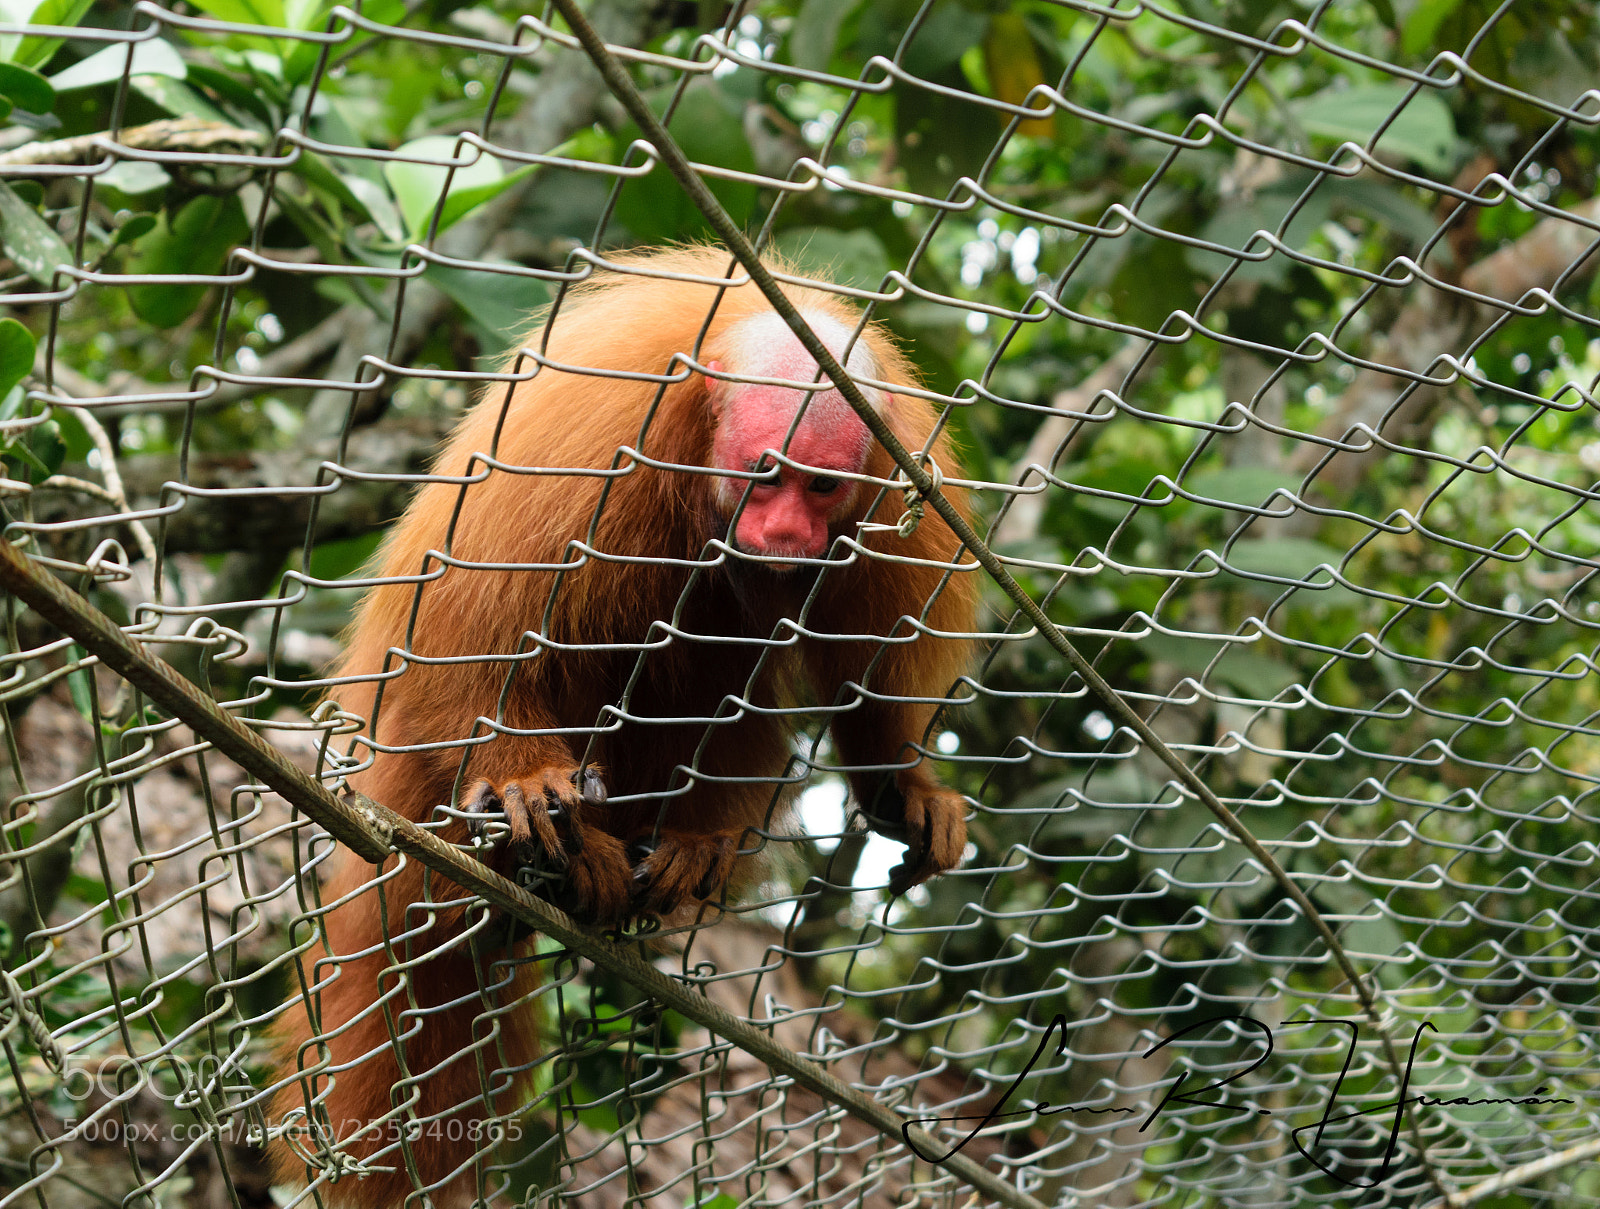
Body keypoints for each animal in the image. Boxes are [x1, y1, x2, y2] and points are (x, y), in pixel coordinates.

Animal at [267, 245, 978, 1206]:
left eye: (820, 485)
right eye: (766, 475)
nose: (785, 529)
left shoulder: (897, 490)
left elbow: (866, 668)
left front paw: (900, 784)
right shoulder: (599, 435)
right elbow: (475, 623)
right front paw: (524, 779)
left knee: (720, 645)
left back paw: (680, 848)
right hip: (415, 772)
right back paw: (549, 849)